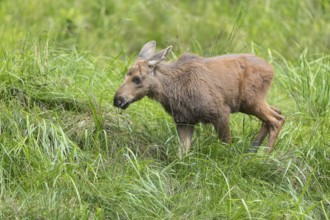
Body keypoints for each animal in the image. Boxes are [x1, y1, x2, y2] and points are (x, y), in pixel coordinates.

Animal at [113, 40, 284, 159]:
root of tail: (271, 70)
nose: (118, 100)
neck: (172, 90)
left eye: (137, 78)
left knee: (277, 119)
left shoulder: (221, 112)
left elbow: (226, 144)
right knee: (276, 113)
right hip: (249, 103)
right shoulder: (184, 121)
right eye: (125, 75)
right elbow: (182, 153)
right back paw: (253, 149)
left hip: (251, 101)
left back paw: (264, 157)